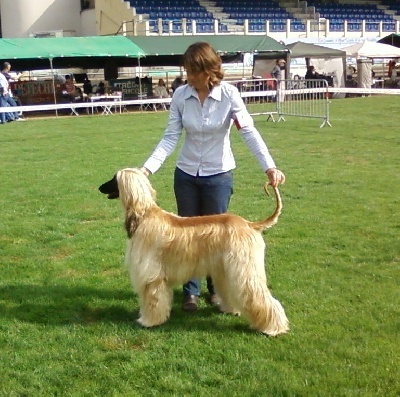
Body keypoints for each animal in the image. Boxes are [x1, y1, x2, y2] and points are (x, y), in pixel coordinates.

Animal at [99, 167, 290, 334]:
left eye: (114, 179)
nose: (99, 187)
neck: (144, 216)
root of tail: (250, 224)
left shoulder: (152, 275)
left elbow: (153, 300)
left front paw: (149, 321)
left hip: (244, 268)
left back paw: (274, 328)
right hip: (226, 268)